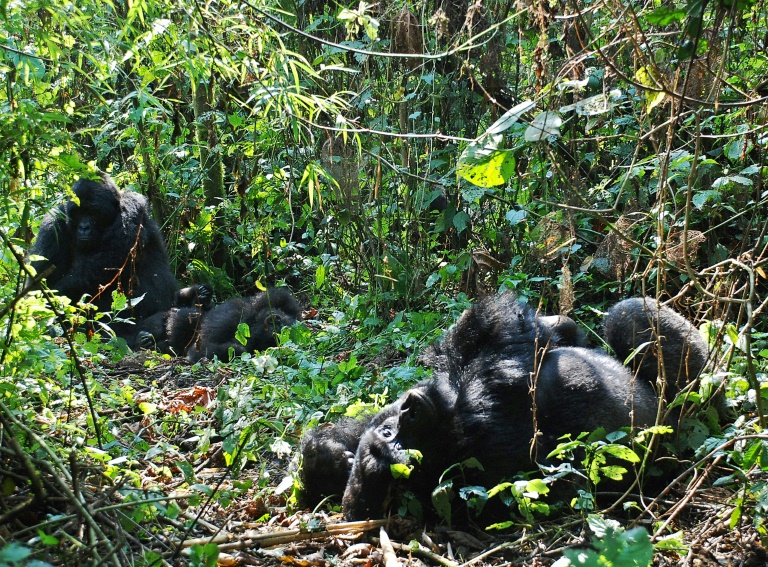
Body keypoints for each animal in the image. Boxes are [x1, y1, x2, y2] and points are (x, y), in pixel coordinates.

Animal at [30, 173, 178, 346]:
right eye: (79, 213)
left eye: (93, 213)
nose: (84, 227)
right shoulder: (53, 223)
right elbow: (38, 283)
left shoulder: (132, 206)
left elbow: (111, 257)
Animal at [298, 296, 708, 520]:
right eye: (393, 441)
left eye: (390, 431)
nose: (409, 409)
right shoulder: (479, 427)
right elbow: (498, 336)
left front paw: (325, 456)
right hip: (680, 420)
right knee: (631, 319)